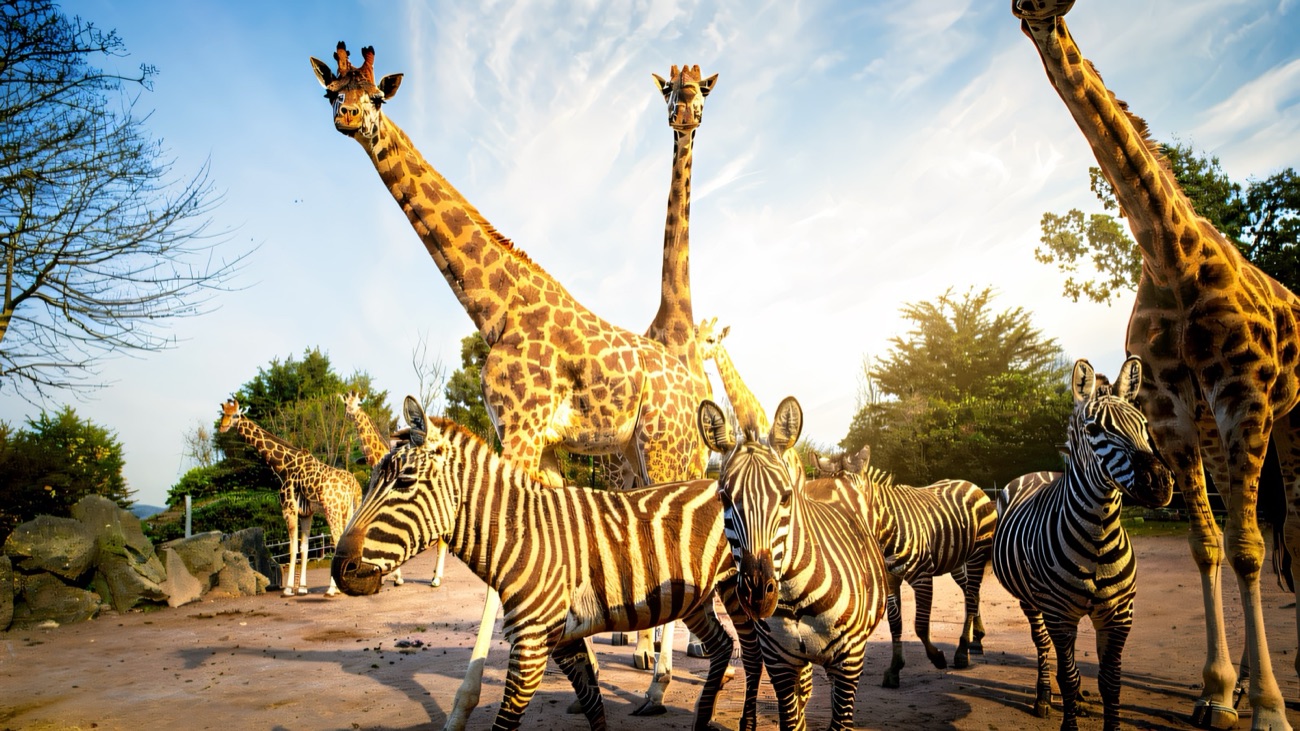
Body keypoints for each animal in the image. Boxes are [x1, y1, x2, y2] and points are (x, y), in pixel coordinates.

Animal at [218, 398, 361, 598]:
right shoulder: (307, 513)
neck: (283, 466)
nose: (222, 427)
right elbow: (304, 548)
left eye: (236, 415)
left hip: (332, 511)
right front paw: (302, 588)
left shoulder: (288, 508)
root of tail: (354, 486)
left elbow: (292, 548)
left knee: (339, 540)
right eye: (224, 414)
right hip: (349, 511)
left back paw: (332, 589)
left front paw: (287, 589)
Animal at [698, 396, 887, 731]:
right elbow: (792, 720)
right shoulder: (780, 663)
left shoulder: (850, 662)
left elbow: (840, 721)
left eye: (786, 497)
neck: (796, 597)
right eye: (724, 499)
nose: (758, 595)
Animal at [817, 445, 998, 688]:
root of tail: (970, 484)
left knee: (971, 596)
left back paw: (962, 651)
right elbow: (896, 624)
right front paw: (894, 669)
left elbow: (920, 625)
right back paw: (976, 638)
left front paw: (937, 657)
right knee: (971, 593)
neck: (884, 530)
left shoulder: (923, 577)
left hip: (977, 554)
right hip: (957, 561)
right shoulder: (891, 580)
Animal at [992, 357, 1174, 731]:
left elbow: (1111, 681)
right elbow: (1069, 675)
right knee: (1042, 645)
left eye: (1143, 425)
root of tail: (1040, 472)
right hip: (1031, 601)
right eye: (1093, 429)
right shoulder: (1060, 615)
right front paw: (1068, 717)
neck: (1099, 538)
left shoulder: (1120, 614)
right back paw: (1043, 698)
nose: (1160, 483)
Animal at [1014, 3, 1300, 728]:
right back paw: (1243, 682)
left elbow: (1249, 547)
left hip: (1289, 415)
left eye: (1056, 13)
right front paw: (1217, 692)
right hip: (1230, 429)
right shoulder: (1177, 410)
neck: (1171, 257)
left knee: (1289, 533)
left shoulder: (1244, 395)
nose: (1036, 15)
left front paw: (1268, 708)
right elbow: (1210, 544)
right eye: (1023, 13)